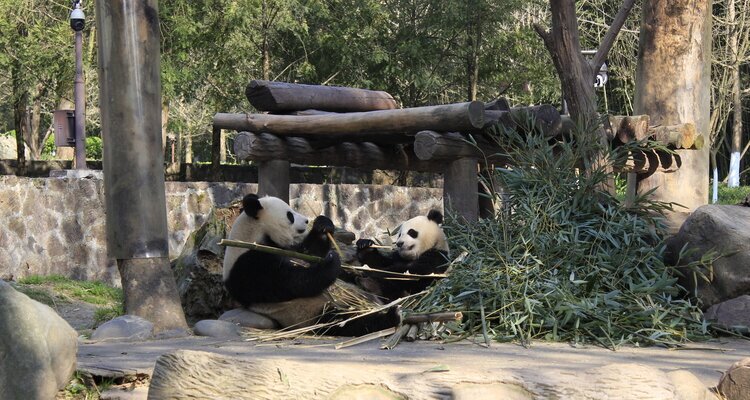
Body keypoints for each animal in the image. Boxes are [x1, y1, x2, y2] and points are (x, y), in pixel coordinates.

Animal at [222, 193, 400, 336]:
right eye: (290, 215)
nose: (307, 220)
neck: (251, 235)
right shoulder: (249, 264)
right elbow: (294, 282)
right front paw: (331, 261)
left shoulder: (285, 248)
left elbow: (309, 252)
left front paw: (323, 225)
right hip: (315, 312)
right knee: (347, 321)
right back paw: (390, 316)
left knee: (385, 282)